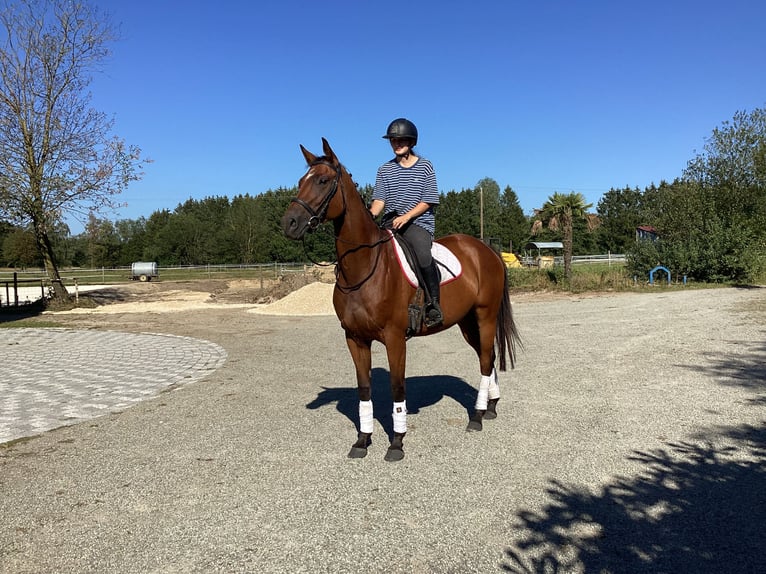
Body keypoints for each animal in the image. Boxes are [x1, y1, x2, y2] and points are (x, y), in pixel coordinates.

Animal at [282, 140, 520, 464]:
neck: (366, 266)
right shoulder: (355, 338)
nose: (289, 223)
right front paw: (362, 440)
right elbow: (364, 389)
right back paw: (492, 407)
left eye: (322, 180)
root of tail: (486, 250)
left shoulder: (395, 339)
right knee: (489, 358)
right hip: (467, 322)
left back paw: (478, 415)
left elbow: (397, 388)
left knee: (485, 359)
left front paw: (396, 443)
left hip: (485, 315)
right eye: (300, 181)